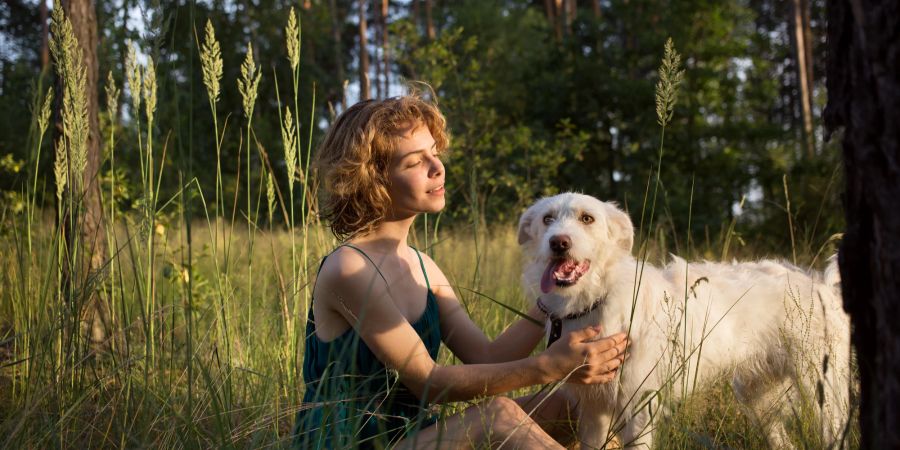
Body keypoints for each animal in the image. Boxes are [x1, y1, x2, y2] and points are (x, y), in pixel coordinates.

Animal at [520, 192, 852, 448]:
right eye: (547, 219)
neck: (595, 300)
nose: (558, 243)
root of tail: (821, 284)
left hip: (824, 394)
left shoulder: (640, 408)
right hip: (759, 399)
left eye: (587, 218)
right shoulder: (594, 412)